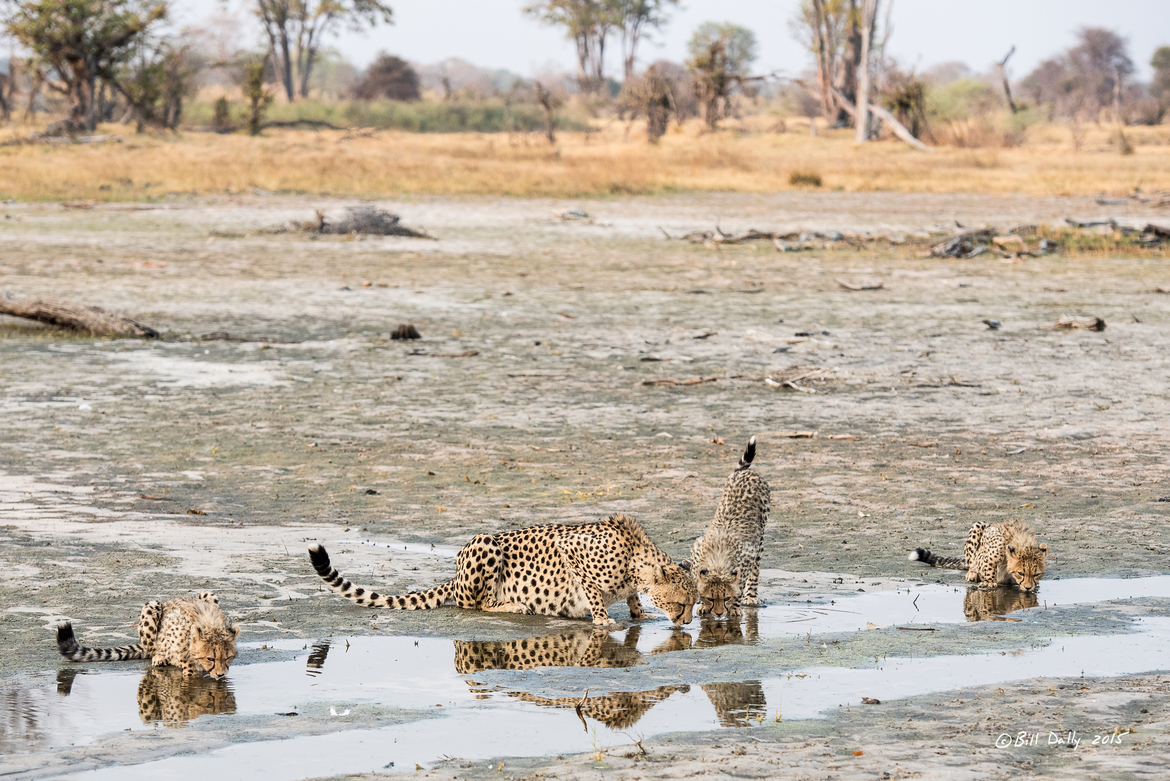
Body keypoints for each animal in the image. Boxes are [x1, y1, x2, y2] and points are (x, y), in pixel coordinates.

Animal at [56, 592, 239, 679]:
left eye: (228, 657)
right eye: (210, 658)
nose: (221, 674)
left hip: (207, 594)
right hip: (151, 606)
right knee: (152, 648)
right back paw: (159, 658)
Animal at [309, 513, 697, 626]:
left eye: (695, 603)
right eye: (682, 604)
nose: (686, 623)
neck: (636, 557)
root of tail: (454, 576)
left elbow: (633, 597)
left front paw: (640, 613)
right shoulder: (572, 551)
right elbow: (593, 592)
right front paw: (603, 620)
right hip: (486, 544)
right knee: (475, 604)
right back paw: (515, 605)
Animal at [687, 436, 771, 618]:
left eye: (725, 598)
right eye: (711, 598)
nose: (718, 614)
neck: (718, 561)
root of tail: (744, 473)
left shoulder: (747, 555)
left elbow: (739, 585)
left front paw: (735, 608)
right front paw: (703, 606)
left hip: (760, 537)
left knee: (755, 570)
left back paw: (751, 596)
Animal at [909, 519, 1048, 591]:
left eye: (1036, 574)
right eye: (1020, 573)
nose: (1028, 588)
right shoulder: (985, 555)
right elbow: (989, 566)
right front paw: (989, 582)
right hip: (978, 525)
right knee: (971, 562)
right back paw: (972, 573)